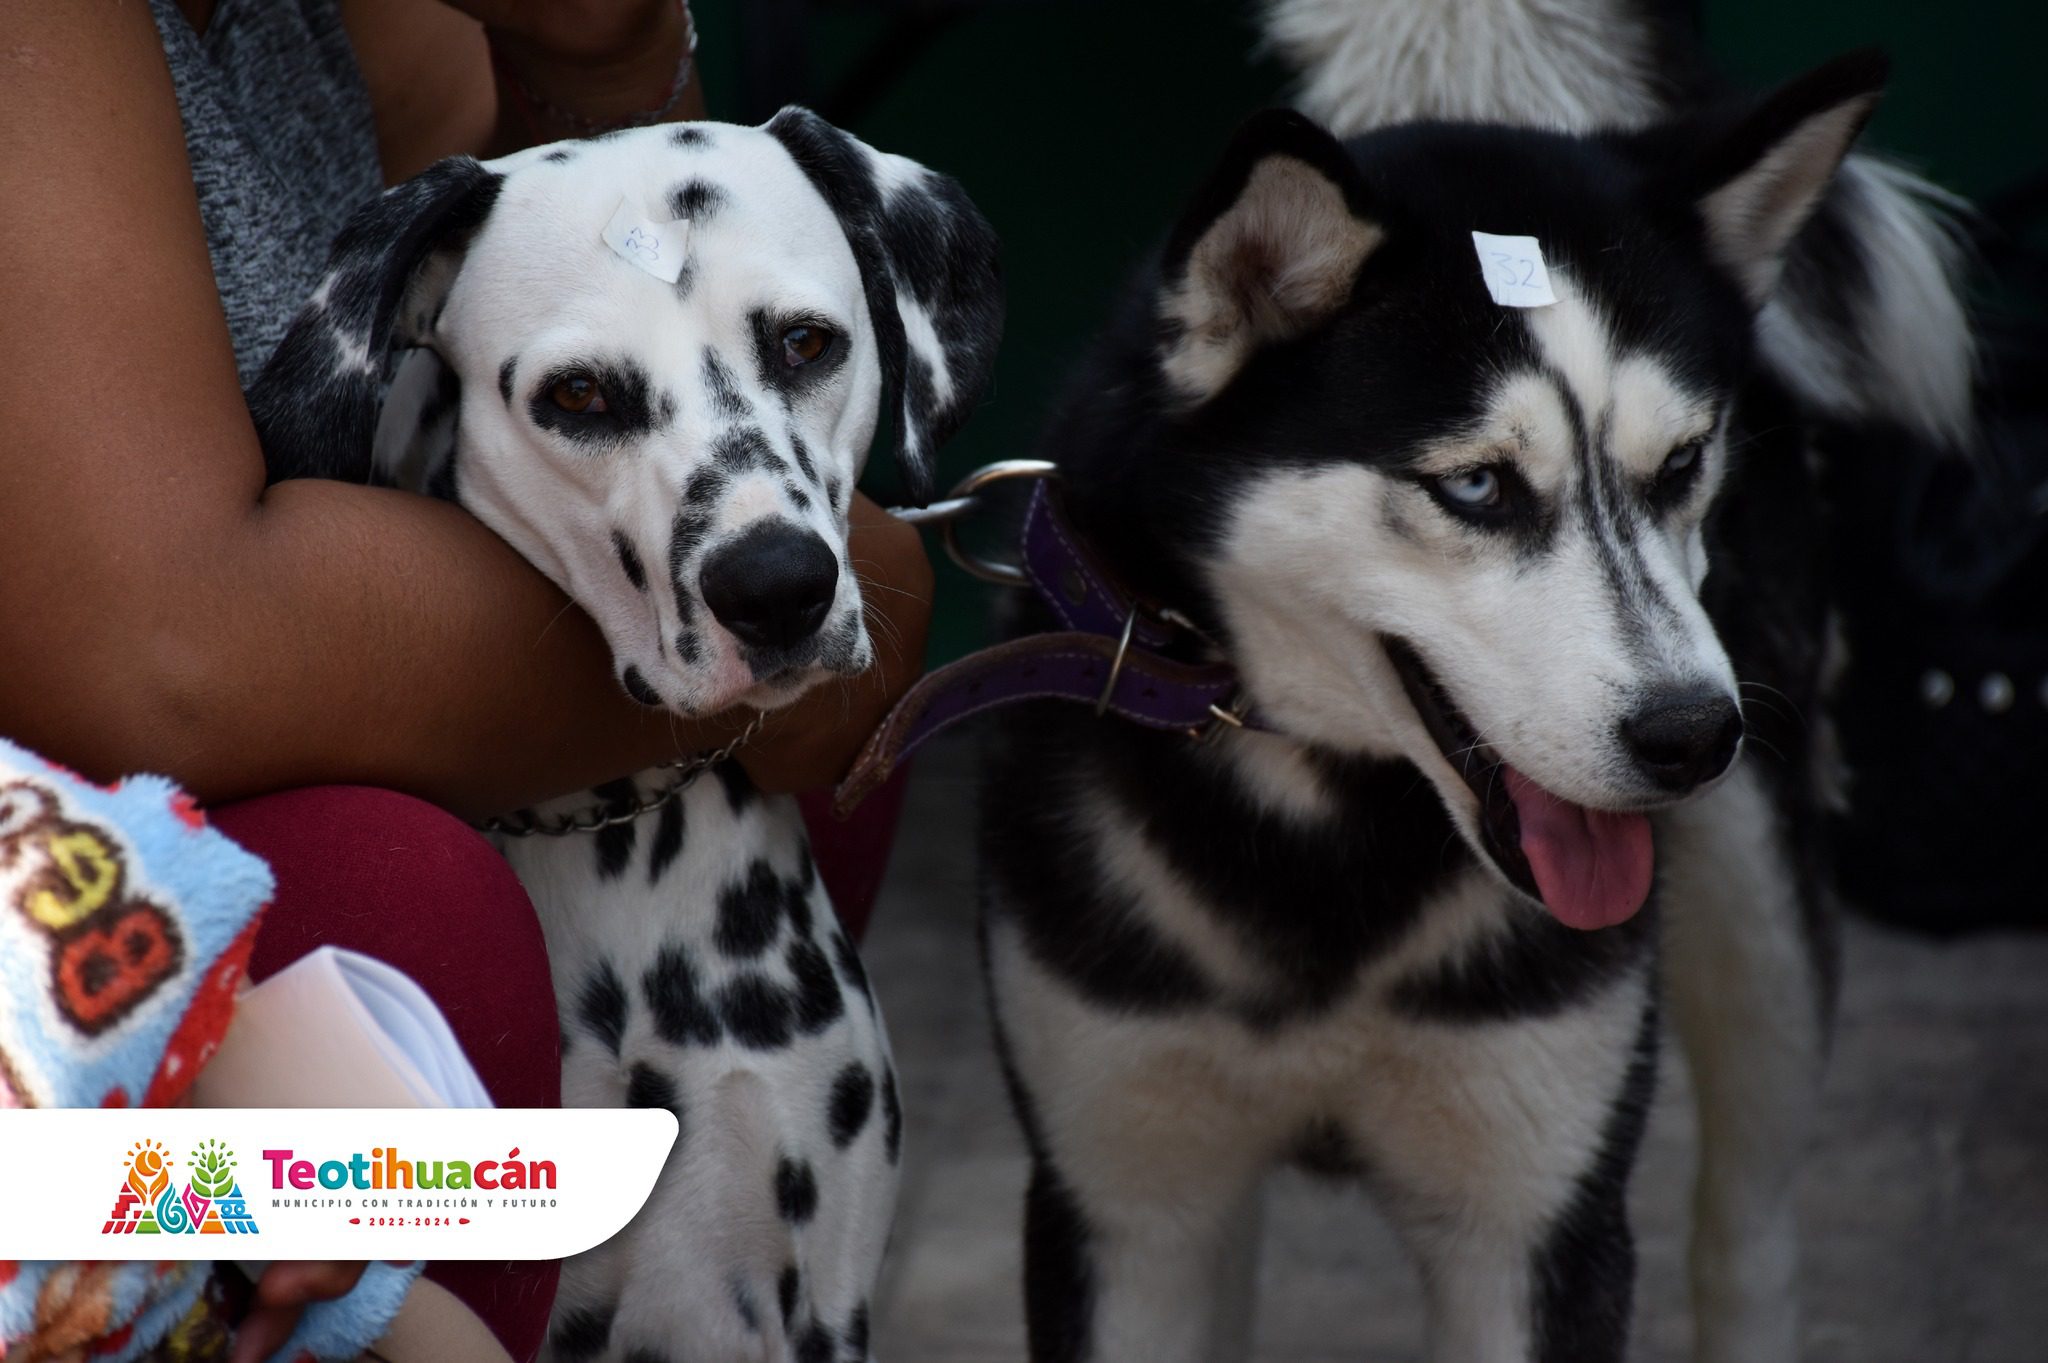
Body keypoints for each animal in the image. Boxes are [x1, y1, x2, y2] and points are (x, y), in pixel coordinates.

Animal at [978, 42, 1933, 1358]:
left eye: (1681, 463)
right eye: (1476, 486)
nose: (1692, 735)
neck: (1326, 835)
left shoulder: (1535, 1218)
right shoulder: (1123, 1203)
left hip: (1761, 940)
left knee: (1748, 1230)